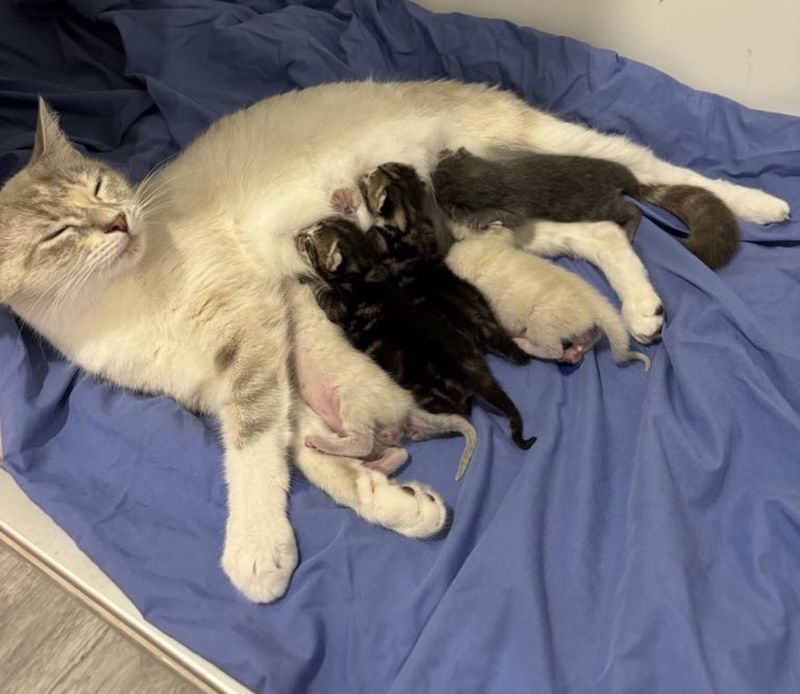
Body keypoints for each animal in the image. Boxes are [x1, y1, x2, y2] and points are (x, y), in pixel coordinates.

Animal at [288, 280, 476, 482]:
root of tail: (408, 407)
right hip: (379, 435)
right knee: (399, 453)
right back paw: (377, 467)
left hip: (355, 403)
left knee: (363, 443)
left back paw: (320, 443)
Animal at [296, 166, 536, 454]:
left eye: (309, 243)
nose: (298, 234)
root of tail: (471, 368)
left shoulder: (345, 296)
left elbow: (326, 291)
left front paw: (307, 277)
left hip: (425, 390)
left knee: (462, 413)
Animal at [434, 147, 740, 270]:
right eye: (440, 168)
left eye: (441, 194)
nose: (436, 164)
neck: (492, 173)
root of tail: (627, 178)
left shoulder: (515, 204)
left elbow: (508, 215)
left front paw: (476, 217)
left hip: (600, 205)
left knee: (633, 210)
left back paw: (629, 228)